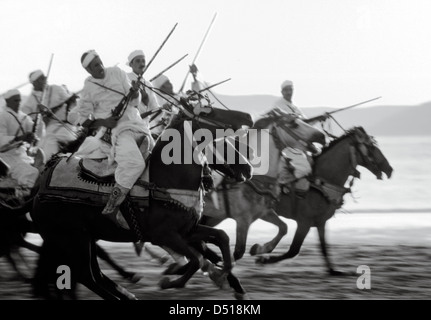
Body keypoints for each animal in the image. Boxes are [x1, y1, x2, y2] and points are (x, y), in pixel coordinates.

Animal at [30, 95, 255, 300]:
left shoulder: (187, 231)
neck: (165, 180)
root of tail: (38, 191)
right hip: (73, 239)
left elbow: (221, 238)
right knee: (87, 276)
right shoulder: (164, 235)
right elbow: (197, 260)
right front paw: (169, 282)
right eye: (211, 112)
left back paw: (127, 293)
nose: (248, 116)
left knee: (95, 275)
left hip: (85, 238)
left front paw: (225, 275)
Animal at [201, 115, 394, 272]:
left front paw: (333, 270)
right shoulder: (303, 222)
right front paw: (264, 258)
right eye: (370, 146)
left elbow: (321, 246)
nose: (389, 169)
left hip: (216, 215)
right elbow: (293, 249)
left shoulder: (319, 222)